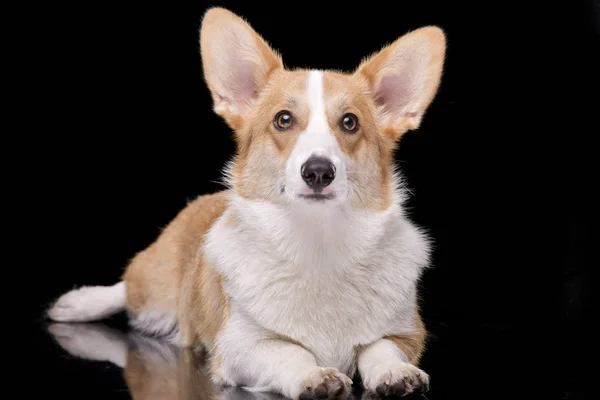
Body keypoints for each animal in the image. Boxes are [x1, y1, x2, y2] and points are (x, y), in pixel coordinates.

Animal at [47, 7, 446, 400]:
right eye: (283, 120)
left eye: (350, 122)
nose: (318, 171)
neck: (317, 242)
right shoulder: (239, 346)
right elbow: (289, 350)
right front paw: (313, 375)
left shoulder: (408, 331)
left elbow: (380, 347)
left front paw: (395, 373)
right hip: (153, 285)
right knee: (127, 287)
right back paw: (80, 303)